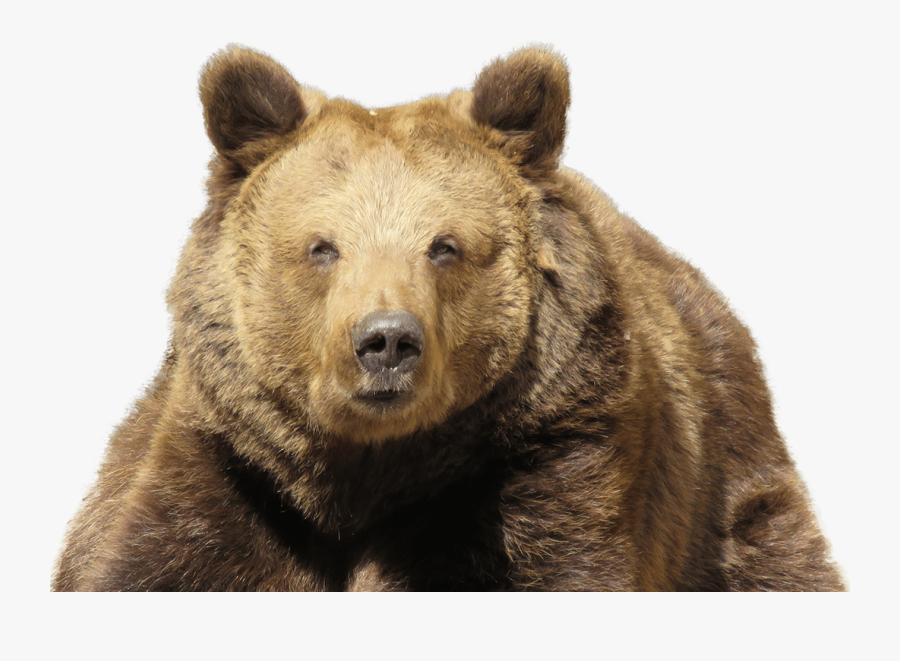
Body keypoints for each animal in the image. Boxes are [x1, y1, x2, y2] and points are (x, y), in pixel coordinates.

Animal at [52, 45, 844, 591]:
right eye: (321, 247)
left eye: (445, 246)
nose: (385, 341)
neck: (364, 474)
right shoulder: (232, 474)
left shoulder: (545, 464)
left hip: (728, 479)